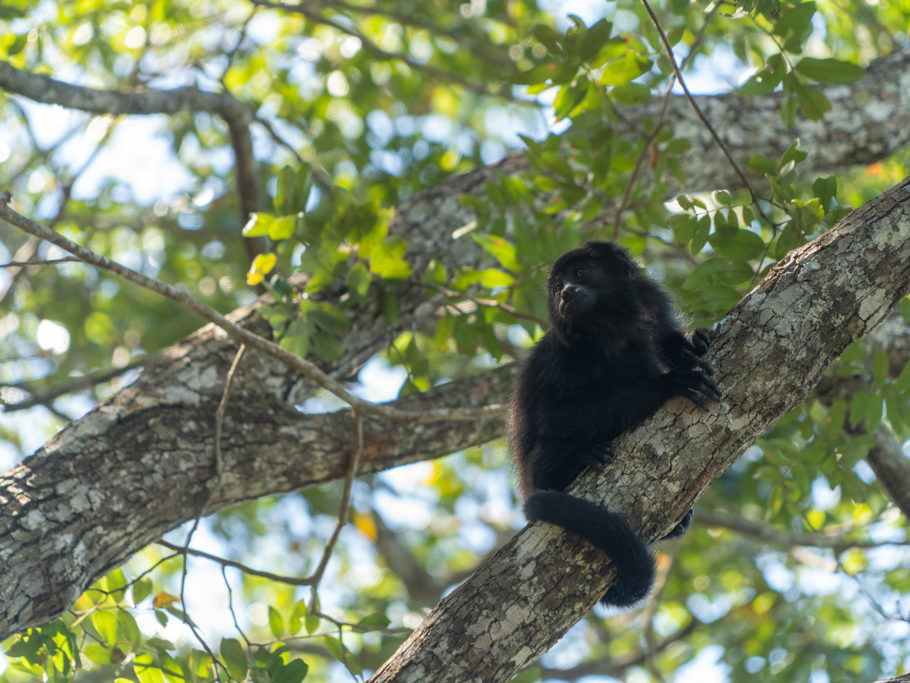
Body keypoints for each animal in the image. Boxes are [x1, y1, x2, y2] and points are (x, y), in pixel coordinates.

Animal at [510, 242, 724, 608]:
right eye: (557, 286)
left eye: (581, 272)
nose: (565, 291)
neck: (614, 323)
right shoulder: (569, 352)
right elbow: (553, 414)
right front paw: (670, 383)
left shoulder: (652, 306)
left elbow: (667, 339)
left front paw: (698, 342)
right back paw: (582, 456)